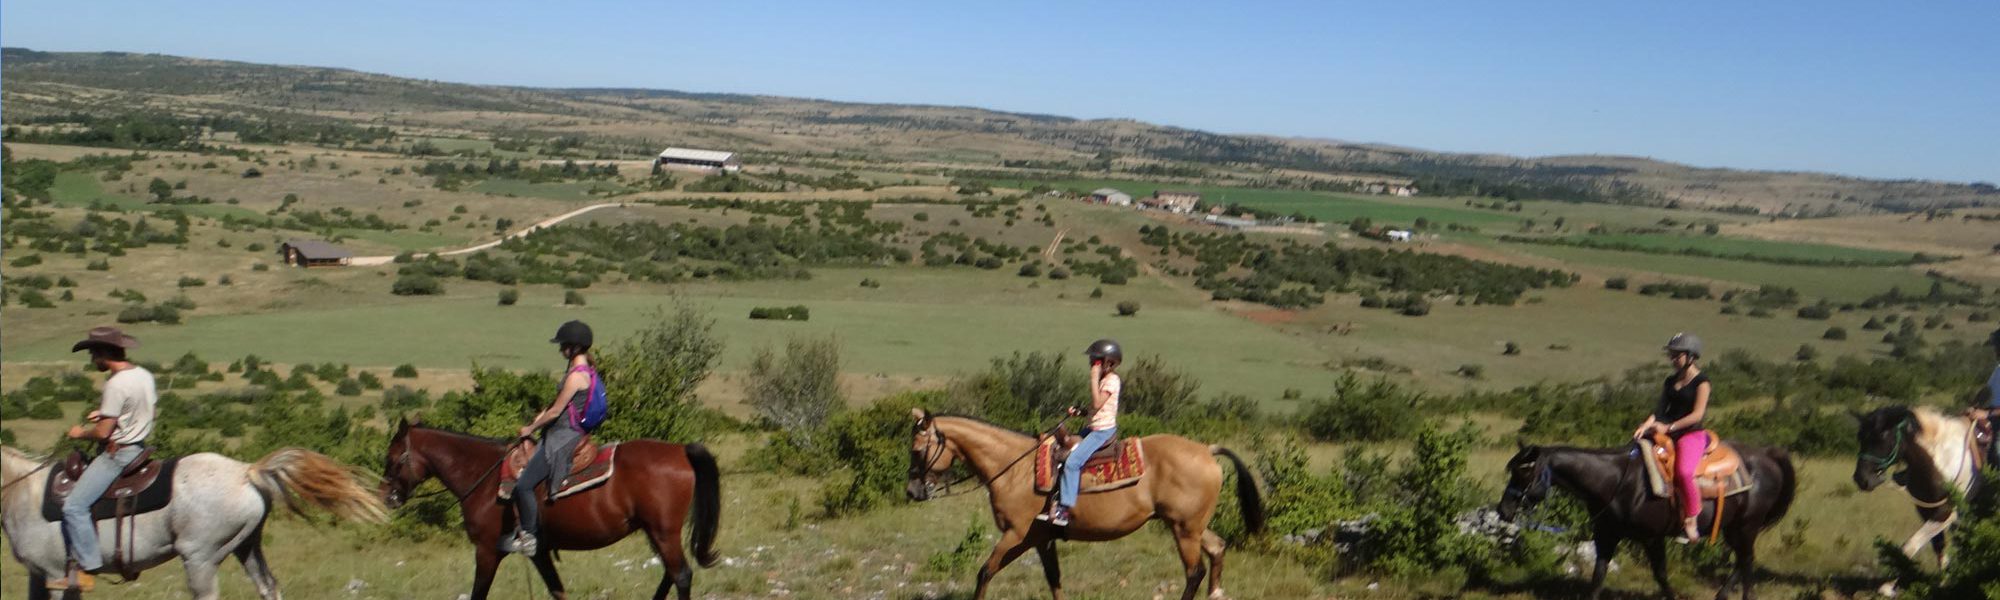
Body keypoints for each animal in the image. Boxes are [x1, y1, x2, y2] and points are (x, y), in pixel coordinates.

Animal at [0, 446, 386, 600]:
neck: (23, 492)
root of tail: (246, 471)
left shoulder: (55, 574)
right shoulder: (43, 576)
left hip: (200, 558)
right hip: (247, 548)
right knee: (269, 587)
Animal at [376, 418, 720, 600]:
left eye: (392, 459)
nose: (386, 497)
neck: (484, 477)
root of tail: (681, 451)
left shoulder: (486, 550)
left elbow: (478, 593)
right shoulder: (539, 551)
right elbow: (558, 591)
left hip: (663, 531)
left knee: (681, 574)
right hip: (655, 531)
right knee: (671, 573)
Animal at [908, 410, 1264, 600]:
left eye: (917, 450)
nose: (913, 492)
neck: (1014, 469)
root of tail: (1207, 450)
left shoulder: (1017, 534)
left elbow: (985, 571)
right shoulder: (1041, 539)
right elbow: (1054, 579)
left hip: (1184, 530)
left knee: (1194, 571)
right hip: (1191, 526)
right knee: (1217, 549)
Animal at [1504, 440, 1800, 600]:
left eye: (1524, 473)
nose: (1503, 509)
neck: (1615, 481)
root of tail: (1767, 456)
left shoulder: (1651, 537)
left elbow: (1660, 574)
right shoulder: (1606, 536)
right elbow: (1598, 575)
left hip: (1747, 525)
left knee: (1747, 561)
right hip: (1732, 527)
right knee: (1742, 560)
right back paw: (1721, 594)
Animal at [1848, 406, 1976, 596]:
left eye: (1882, 437)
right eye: (1860, 437)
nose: (1862, 479)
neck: (1941, 460)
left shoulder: (1947, 513)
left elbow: (1910, 545)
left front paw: (1887, 587)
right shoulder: (1927, 511)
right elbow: (1939, 547)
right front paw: (1943, 583)